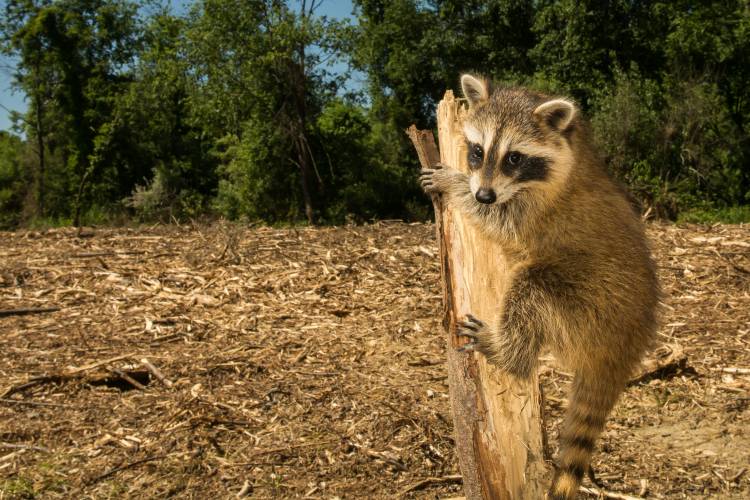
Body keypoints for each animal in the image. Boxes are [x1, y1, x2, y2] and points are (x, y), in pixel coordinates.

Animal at [424, 74, 664, 500]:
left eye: (514, 158)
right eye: (478, 151)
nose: (483, 193)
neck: (574, 150)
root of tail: (623, 349)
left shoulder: (539, 210)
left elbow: (502, 220)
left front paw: (455, 185)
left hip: (589, 302)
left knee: (530, 290)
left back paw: (507, 350)